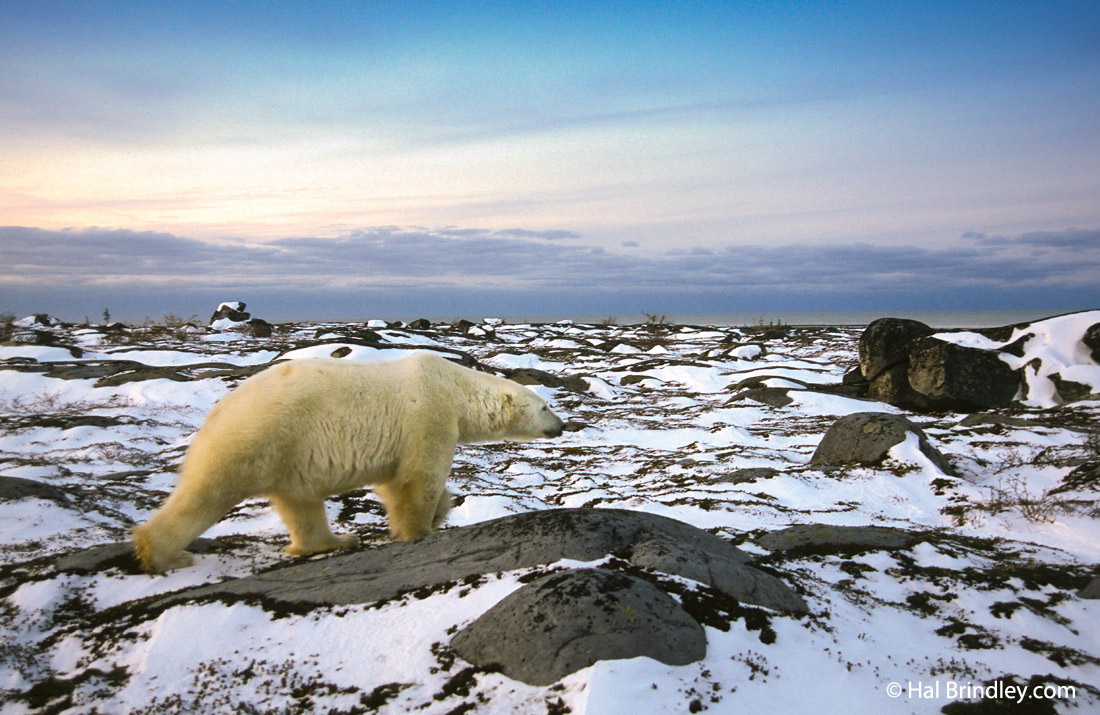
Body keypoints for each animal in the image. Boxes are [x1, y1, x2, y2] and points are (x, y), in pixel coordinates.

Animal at [133, 352, 567, 572]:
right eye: (545, 406)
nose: (562, 426)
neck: (456, 387)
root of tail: (217, 410)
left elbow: (394, 482)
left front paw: (443, 508)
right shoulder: (429, 415)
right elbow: (418, 479)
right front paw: (421, 530)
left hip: (288, 455)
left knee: (301, 505)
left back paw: (337, 539)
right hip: (257, 436)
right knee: (206, 493)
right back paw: (163, 553)